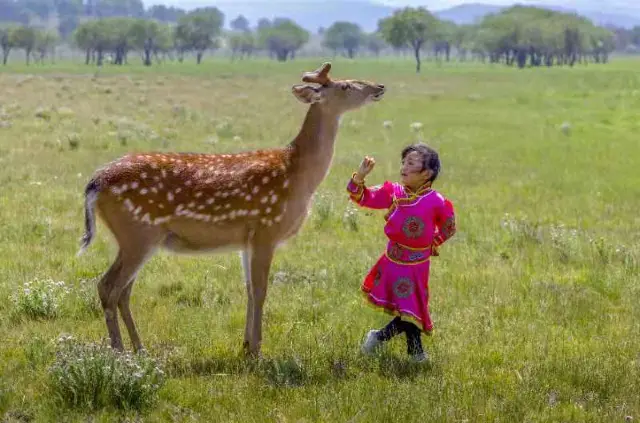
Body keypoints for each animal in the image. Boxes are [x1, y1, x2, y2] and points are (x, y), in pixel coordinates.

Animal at [78, 62, 386, 357]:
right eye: (346, 86)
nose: (379, 86)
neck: (299, 175)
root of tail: (95, 183)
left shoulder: (246, 239)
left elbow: (248, 290)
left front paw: (245, 346)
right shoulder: (266, 228)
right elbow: (261, 290)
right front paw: (258, 351)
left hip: (138, 239)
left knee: (123, 291)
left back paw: (140, 349)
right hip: (137, 233)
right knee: (108, 286)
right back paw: (120, 353)